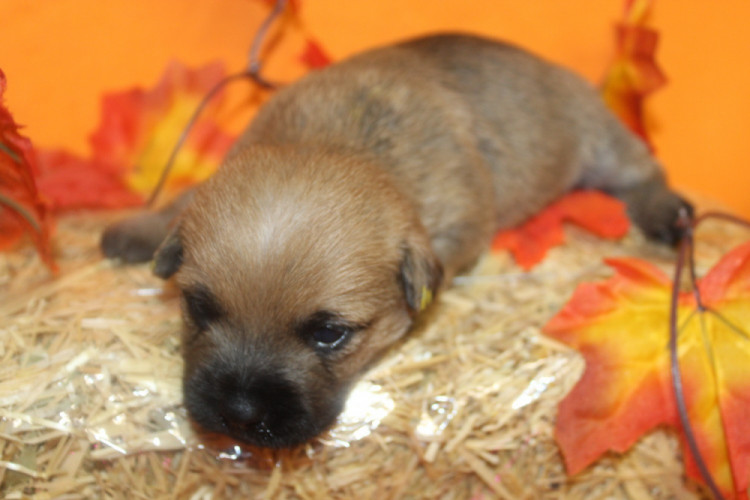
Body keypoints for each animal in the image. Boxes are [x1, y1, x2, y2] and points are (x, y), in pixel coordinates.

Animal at [101, 33, 691, 448]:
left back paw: (666, 212)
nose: (240, 415)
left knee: (646, 171)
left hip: (604, 144)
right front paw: (141, 229)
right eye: (198, 308)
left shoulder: (459, 225)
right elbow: (182, 198)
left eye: (330, 335)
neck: (337, 143)